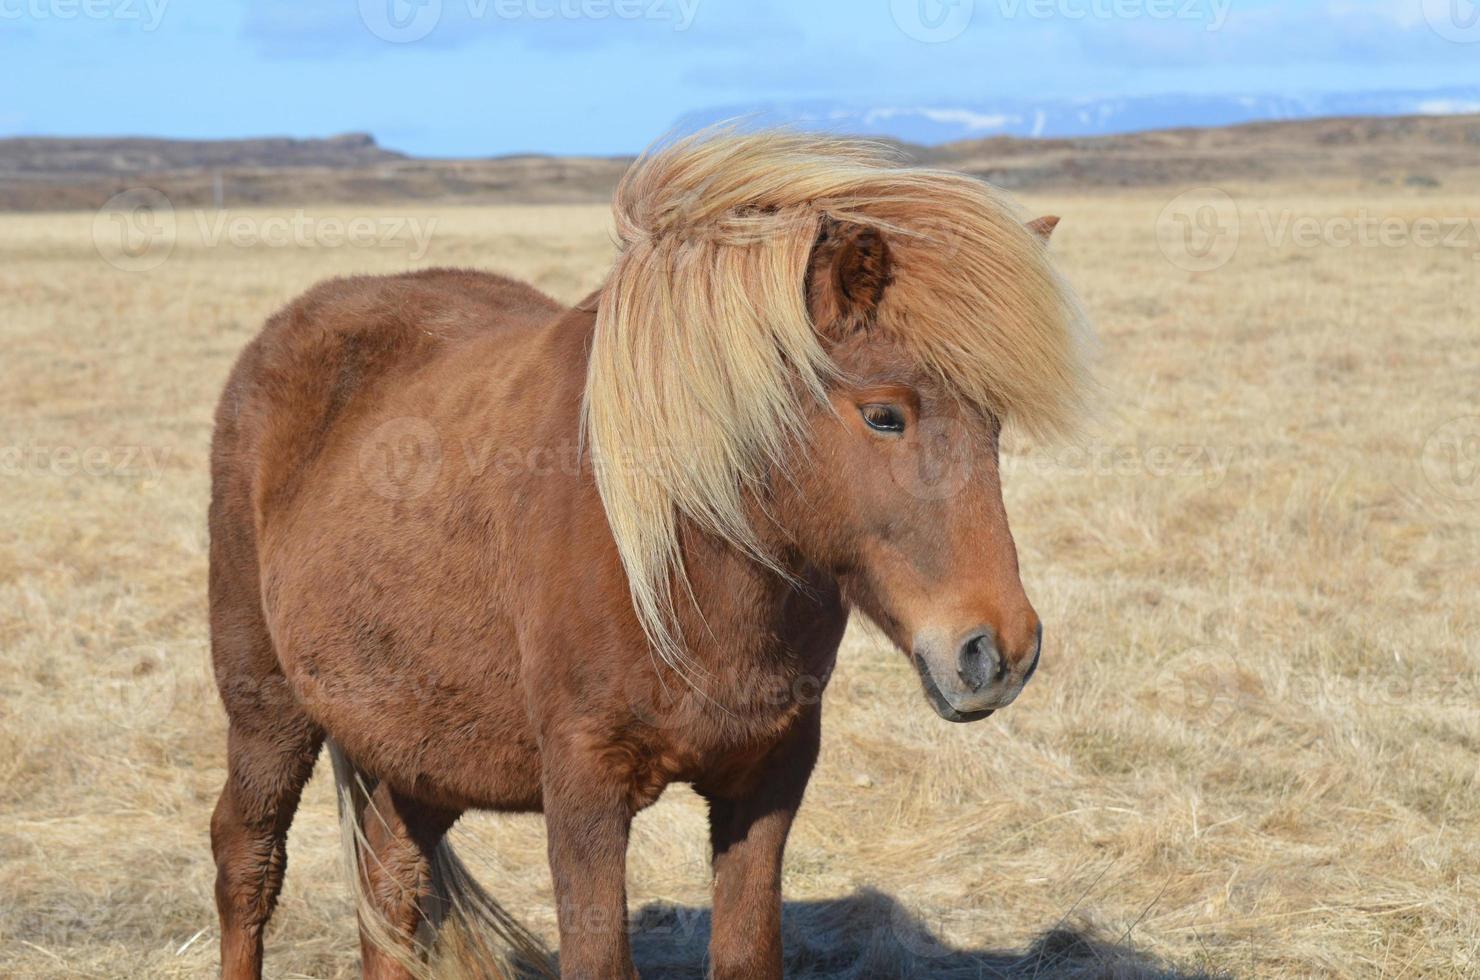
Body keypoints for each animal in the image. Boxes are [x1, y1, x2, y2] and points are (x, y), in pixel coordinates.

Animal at [205, 132, 1089, 980]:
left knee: (391, 886)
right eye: (883, 415)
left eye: (994, 422)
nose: (998, 652)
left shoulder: (768, 780)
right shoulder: (584, 786)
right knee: (248, 861)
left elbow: (746, 954)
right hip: (267, 708)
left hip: (418, 749)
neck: (684, 557)